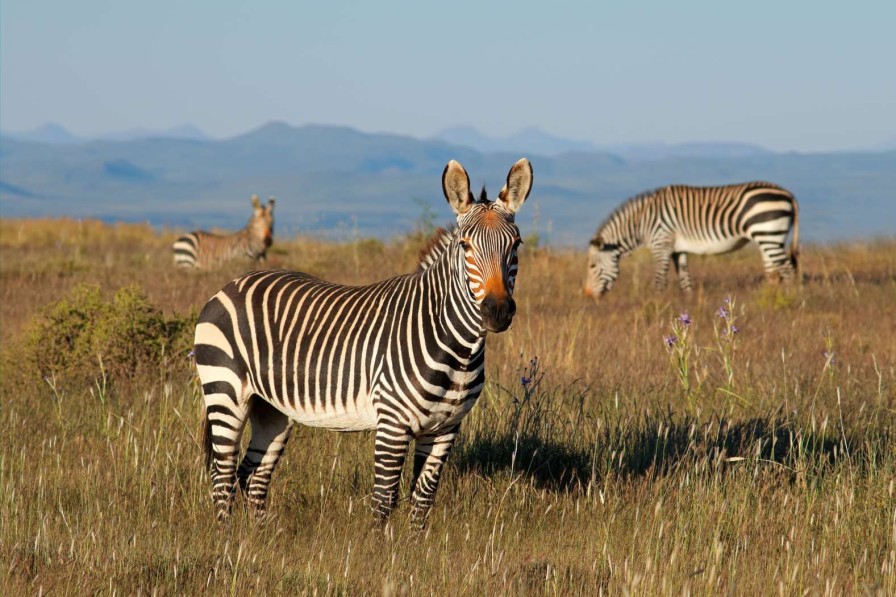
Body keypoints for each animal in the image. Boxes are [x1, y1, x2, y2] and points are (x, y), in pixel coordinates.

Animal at [194, 158, 532, 528]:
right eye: (465, 246)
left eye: (516, 244)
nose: (497, 310)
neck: (458, 351)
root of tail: (231, 284)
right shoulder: (392, 423)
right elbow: (384, 501)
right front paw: (379, 545)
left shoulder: (445, 428)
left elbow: (422, 500)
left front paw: (415, 543)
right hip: (225, 392)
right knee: (223, 476)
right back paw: (227, 537)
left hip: (271, 409)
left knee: (252, 475)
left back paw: (258, 536)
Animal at [584, 179, 800, 296]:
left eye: (592, 266)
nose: (587, 295)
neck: (642, 223)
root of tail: (789, 194)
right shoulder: (678, 249)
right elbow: (685, 280)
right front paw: (687, 307)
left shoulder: (661, 243)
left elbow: (659, 281)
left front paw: (655, 304)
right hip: (768, 238)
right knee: (773, 272)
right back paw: (770, 298)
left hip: (768, 233)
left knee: (788, 270)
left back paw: (788, 300)